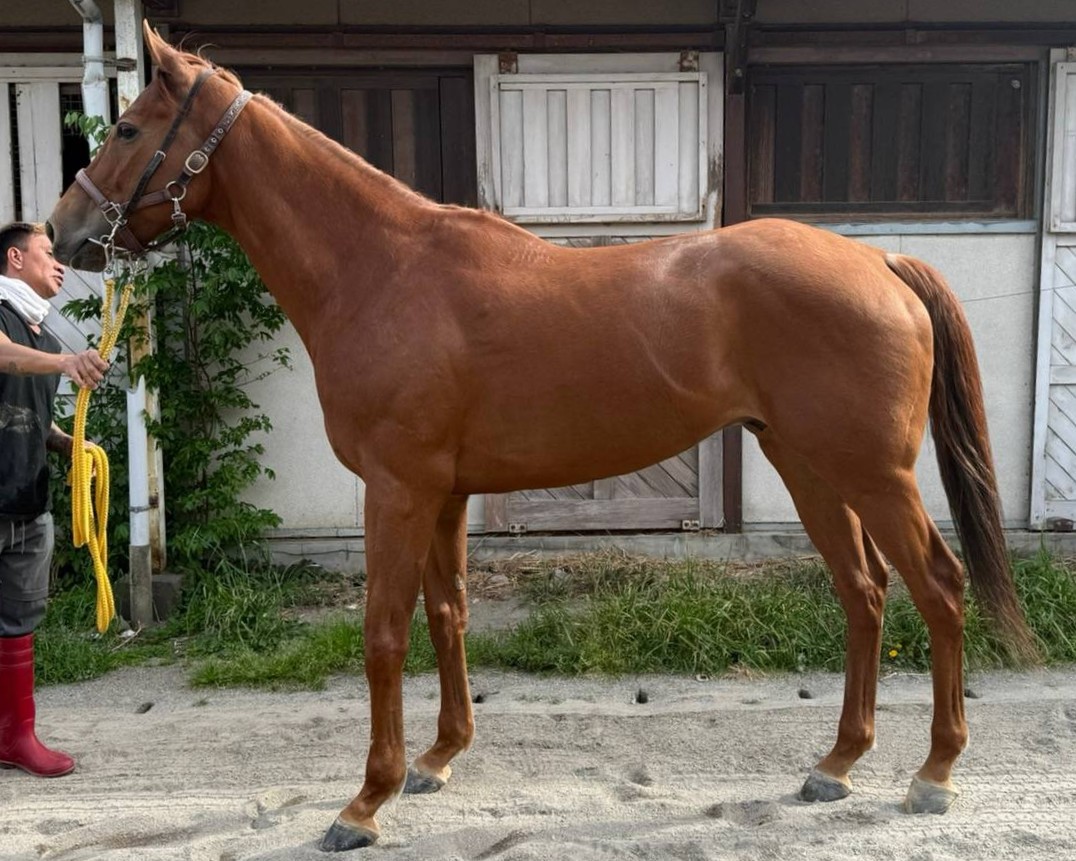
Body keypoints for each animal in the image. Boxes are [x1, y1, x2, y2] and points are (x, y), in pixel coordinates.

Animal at [47, 23, 1036, 853]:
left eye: (128, 128)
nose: (62, 233)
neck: (384, 270)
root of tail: (877, 259)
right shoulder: (443, 491)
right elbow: (446, 614)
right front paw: (438, 759)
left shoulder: (397, 487)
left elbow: (383, 633)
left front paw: (365, 801)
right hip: (807, 464)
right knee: (863, 593)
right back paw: (836, 764)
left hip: (874, 473)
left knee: (939, 587)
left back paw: (933, 772)